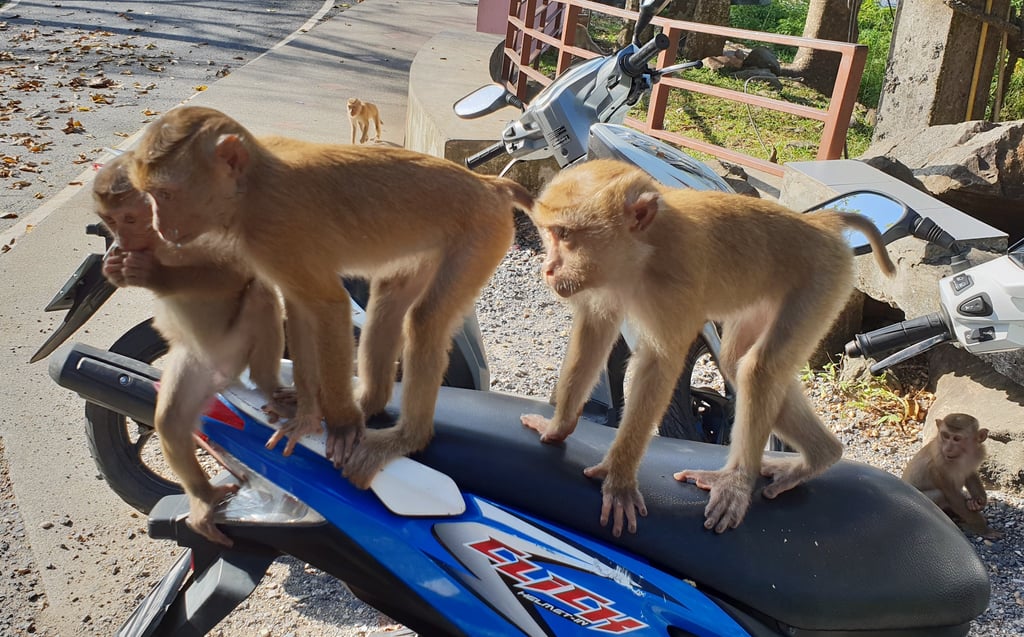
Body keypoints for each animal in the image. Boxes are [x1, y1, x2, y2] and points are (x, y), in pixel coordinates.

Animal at [94, 151, 287, 546]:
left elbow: (234, 269)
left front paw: (152, 274)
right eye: (111, 220)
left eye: (130, 218)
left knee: (258, 292)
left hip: (237, 348)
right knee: (170, 420)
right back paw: (203, 498)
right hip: (195, 364)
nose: (120, 238)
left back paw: (266, 384)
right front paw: (114, 268)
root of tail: (225, 375)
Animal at [128, 105, 533, 490]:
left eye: (165, 195)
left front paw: (339, 425)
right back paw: (369, 403)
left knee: (426, 320)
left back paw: (404, 438)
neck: (250, 187)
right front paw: (309, 412)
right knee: (388, 303)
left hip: (479, 236)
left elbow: (329, 306)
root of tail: (488, 184)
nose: (160, 227)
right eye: (153, 196)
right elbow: (301, 310)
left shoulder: (273, 229)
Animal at [521, 159, 896, 536]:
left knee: (759, 369)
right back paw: (821, 455)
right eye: (549, 233)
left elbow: (659, 364)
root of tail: (820, 223)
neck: (643, 250)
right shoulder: (604, 282)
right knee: (736, 362)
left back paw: (737, 483)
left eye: (565, 235)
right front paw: (557, 427)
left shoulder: (675, 285)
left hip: (821, 280)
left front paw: (619, 478)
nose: (548, 268)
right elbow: (593, 333)